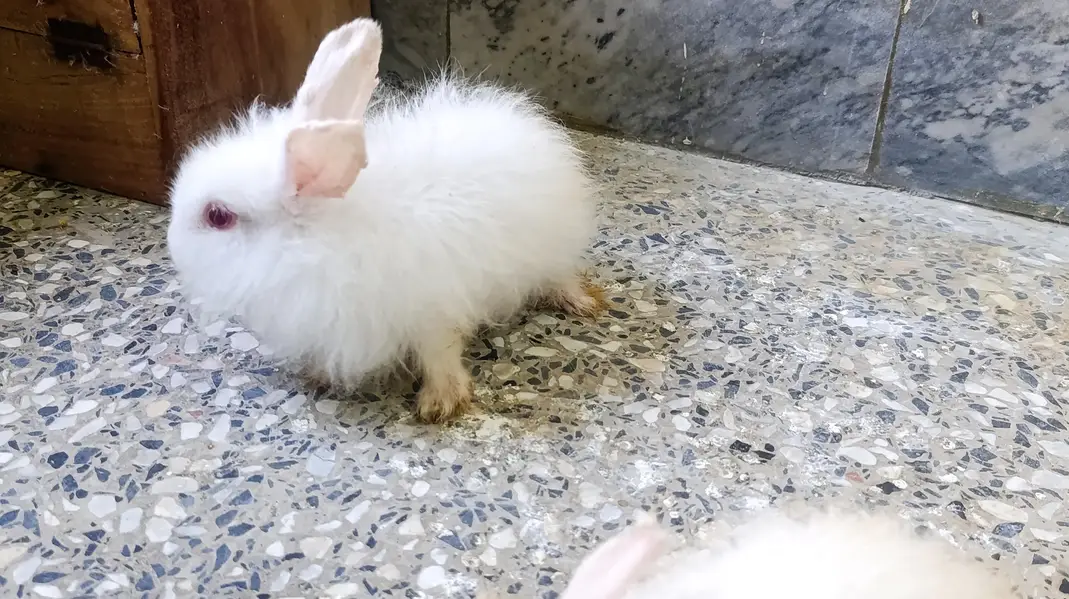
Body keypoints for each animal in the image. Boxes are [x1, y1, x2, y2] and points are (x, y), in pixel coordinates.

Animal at [166, 18, 601, 423]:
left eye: (218, 216)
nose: (171, 244)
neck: (316, 243)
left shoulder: (434, 312)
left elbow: (440, 354)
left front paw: (440, 403)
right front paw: (317, 375)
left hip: (550, 249)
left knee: (560, 276)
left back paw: (583, 303)